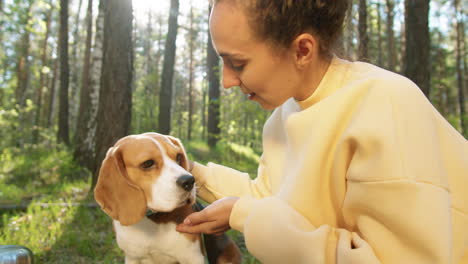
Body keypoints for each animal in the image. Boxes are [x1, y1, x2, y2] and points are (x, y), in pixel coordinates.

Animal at [94, 132, 241, 264]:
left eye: (178, 157)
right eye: (147, 163)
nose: (189, 181)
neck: (153, 221)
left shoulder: (192, 257)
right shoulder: (132, 258)